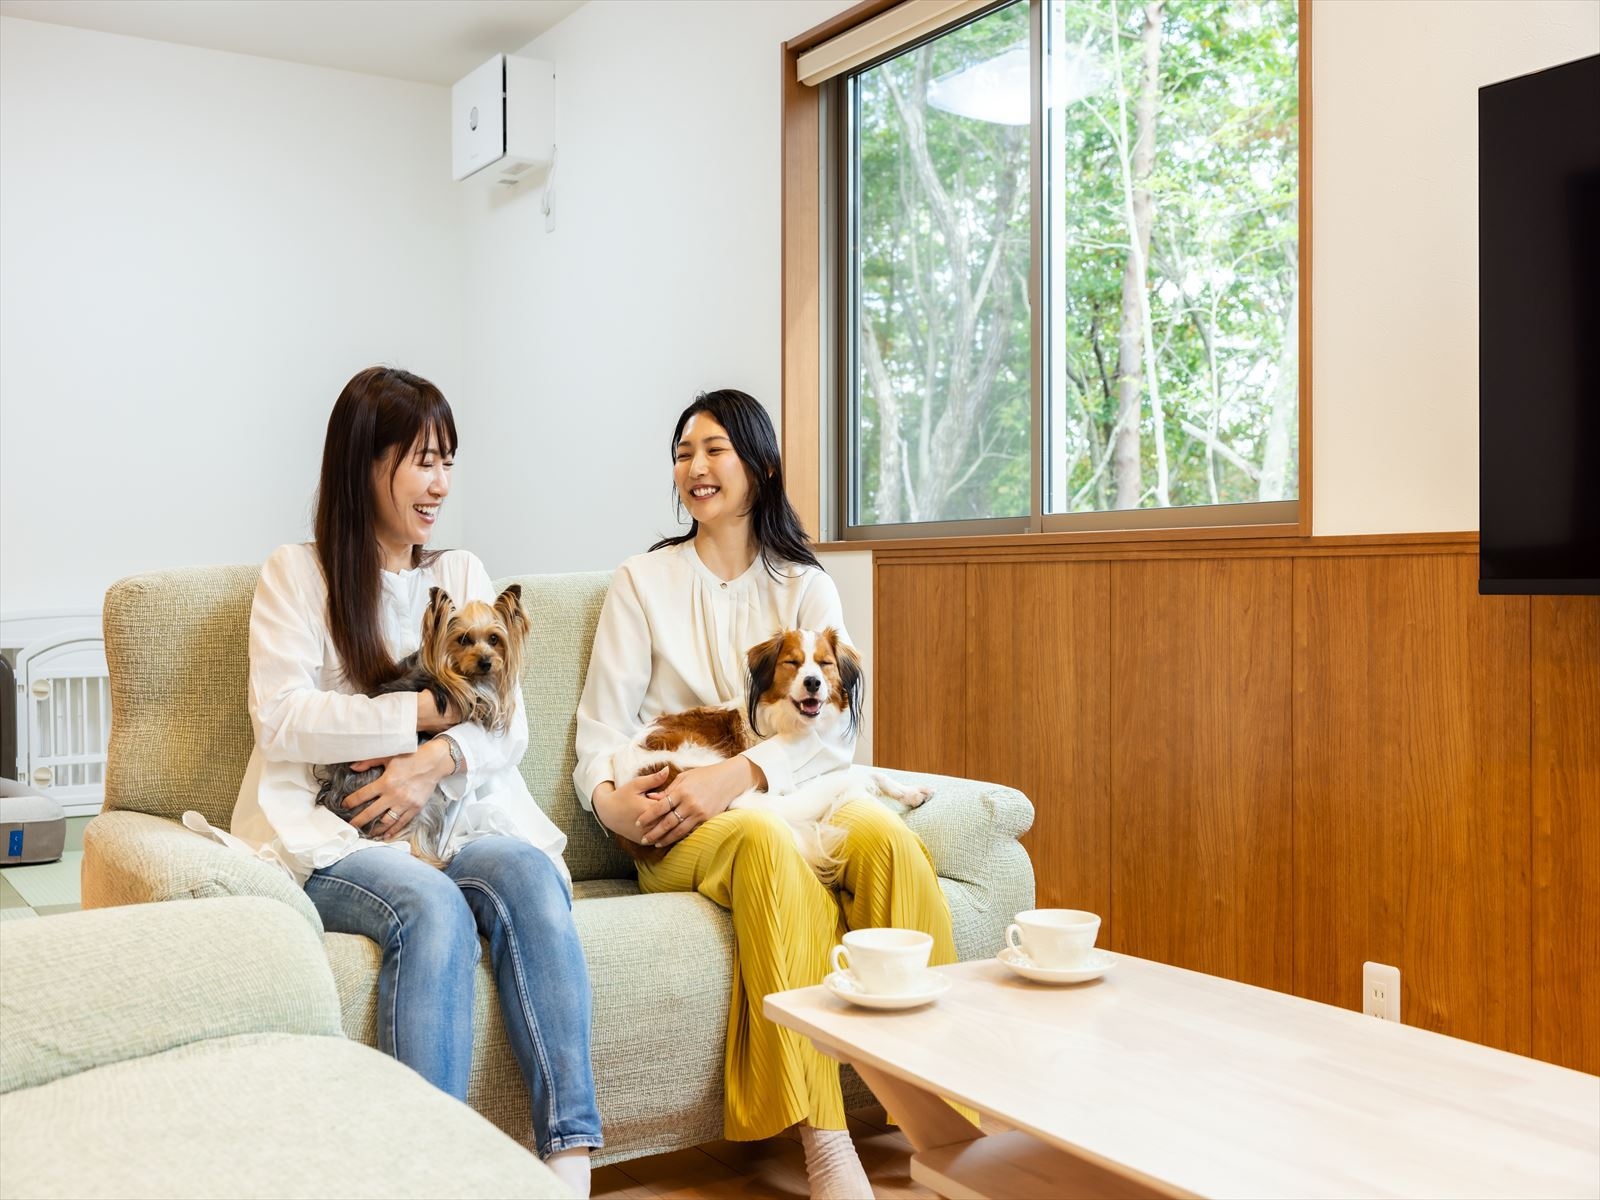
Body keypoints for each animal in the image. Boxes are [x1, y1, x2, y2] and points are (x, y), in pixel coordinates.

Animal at [611, 630, 934, 883]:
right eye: (792, 662)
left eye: (825, 663)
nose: (813, 682)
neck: (790, 722)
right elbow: (864, 772)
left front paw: (911, 793)